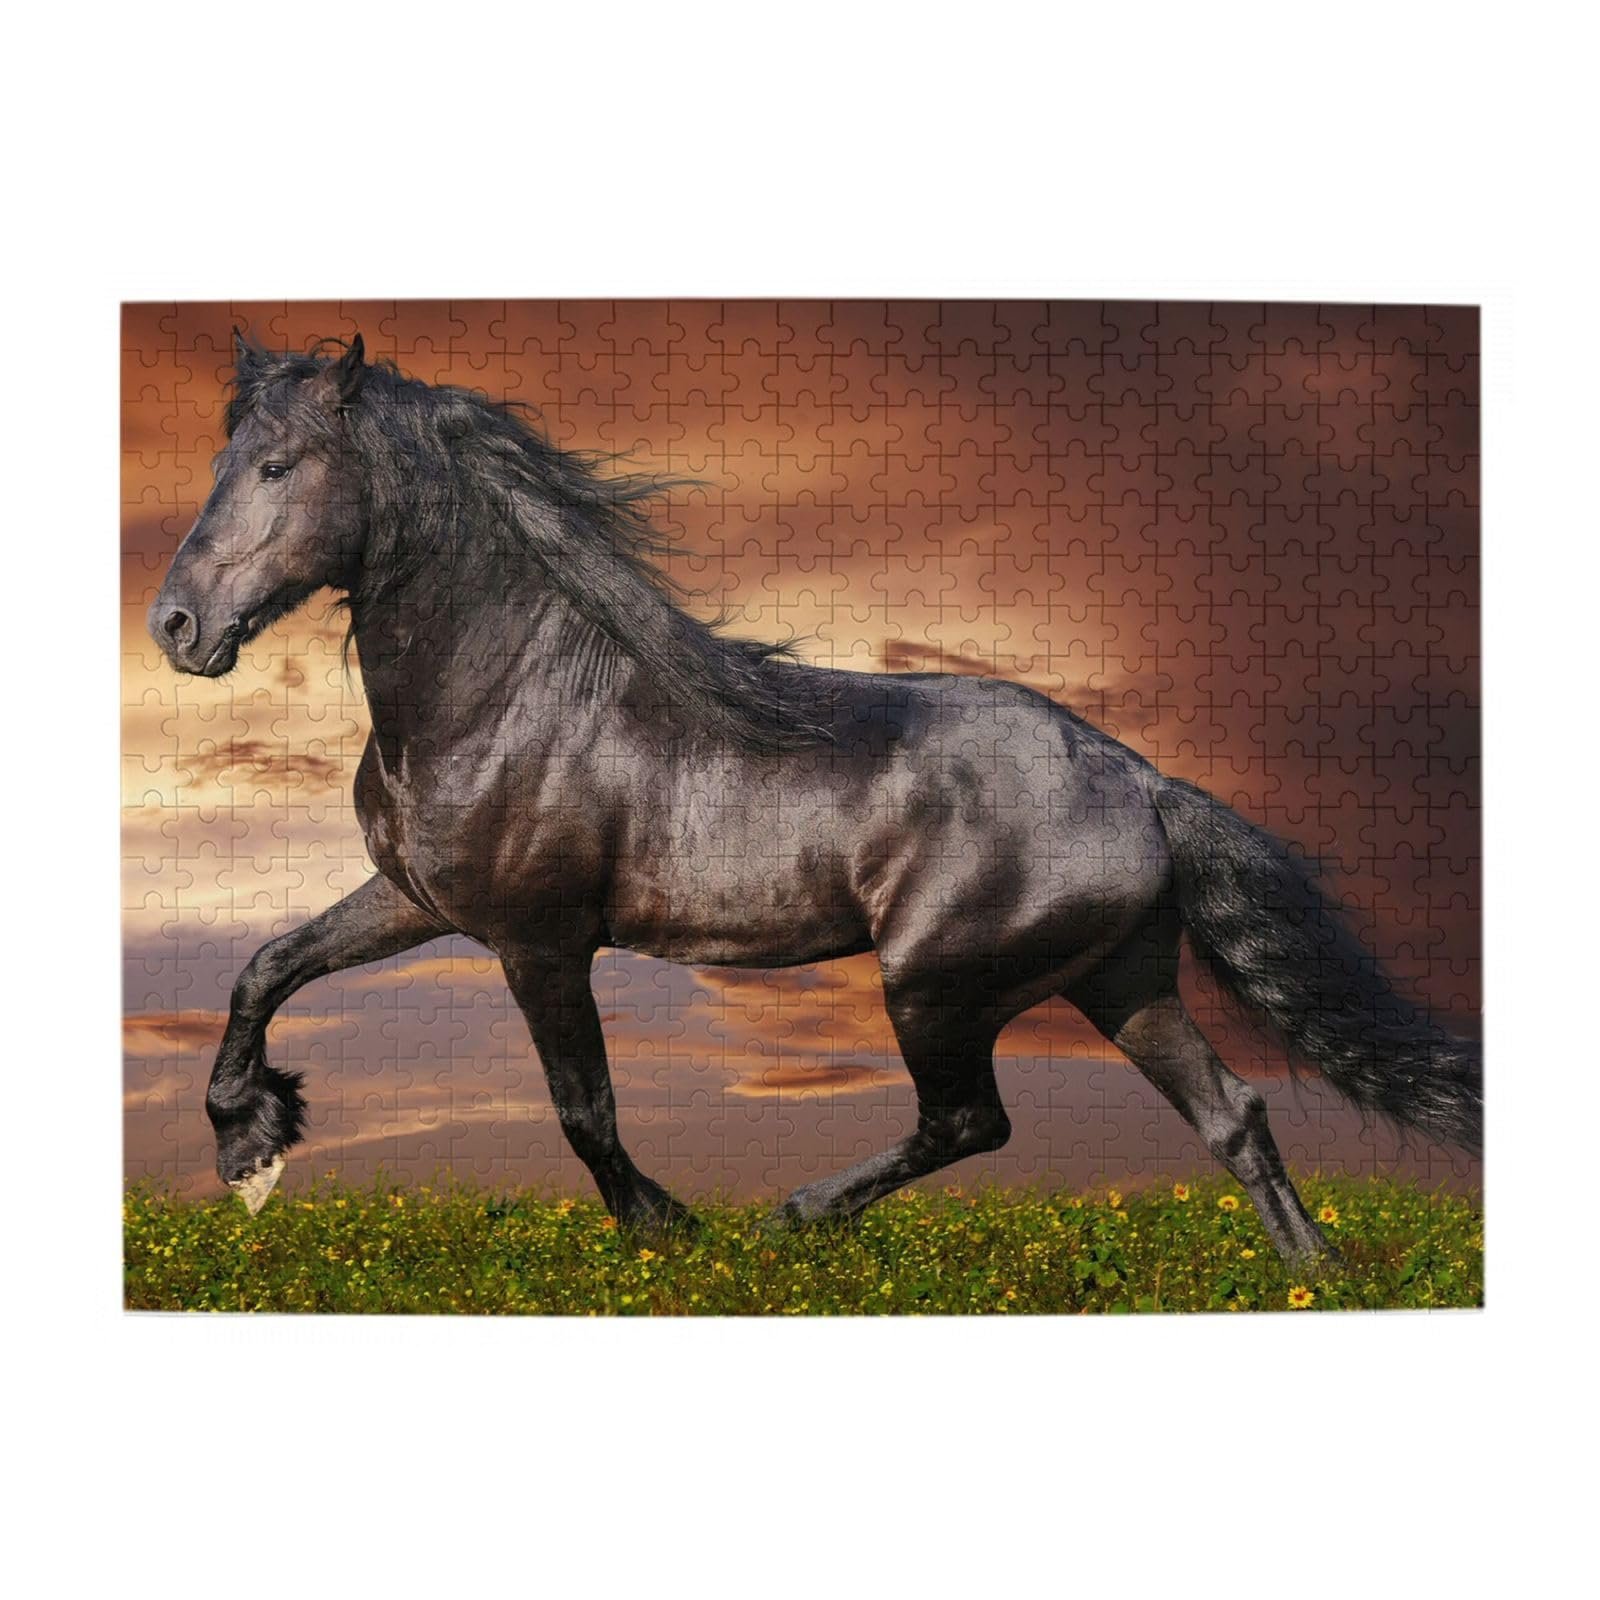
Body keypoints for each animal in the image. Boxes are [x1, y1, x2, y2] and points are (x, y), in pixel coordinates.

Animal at [147, 332, 1482, 1263]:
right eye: (219, 461)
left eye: (277, 466)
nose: (176, 627)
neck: (507, 694)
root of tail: (1142, 779)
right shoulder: (416, 900)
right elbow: (266, 965)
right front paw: (251, 1140)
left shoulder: (541, 940)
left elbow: (583, 1109)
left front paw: (668, 1230)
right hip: (1121, 978)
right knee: (1232, 1113)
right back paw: (1314, 1271)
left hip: (937, 982)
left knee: (973, 1122)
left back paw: (792, 1216)